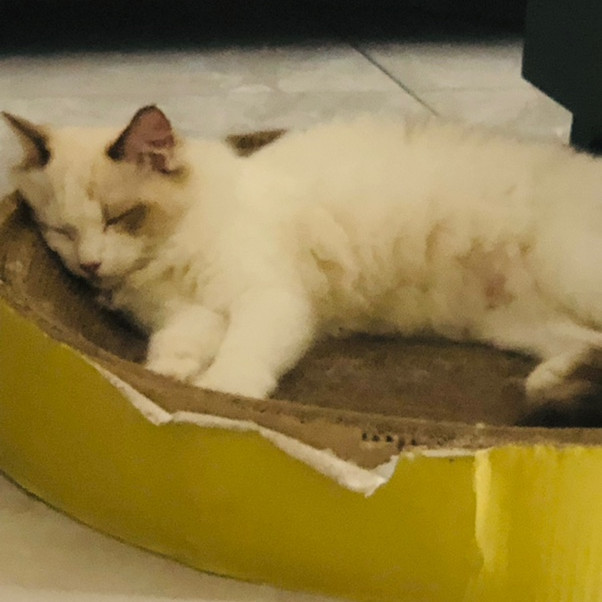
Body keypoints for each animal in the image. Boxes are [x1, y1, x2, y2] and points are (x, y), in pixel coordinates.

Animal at [3, 106, 602, 411]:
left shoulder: (266, 299)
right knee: (590, 348)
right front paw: (169, 380)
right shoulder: (189, 314)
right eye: (61, 231)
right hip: (513, 324)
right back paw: (552, 382)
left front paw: (222, 395)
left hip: (571, 277)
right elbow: (175, 351)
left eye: (118, 218)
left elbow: (240, 359)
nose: (89, 265)